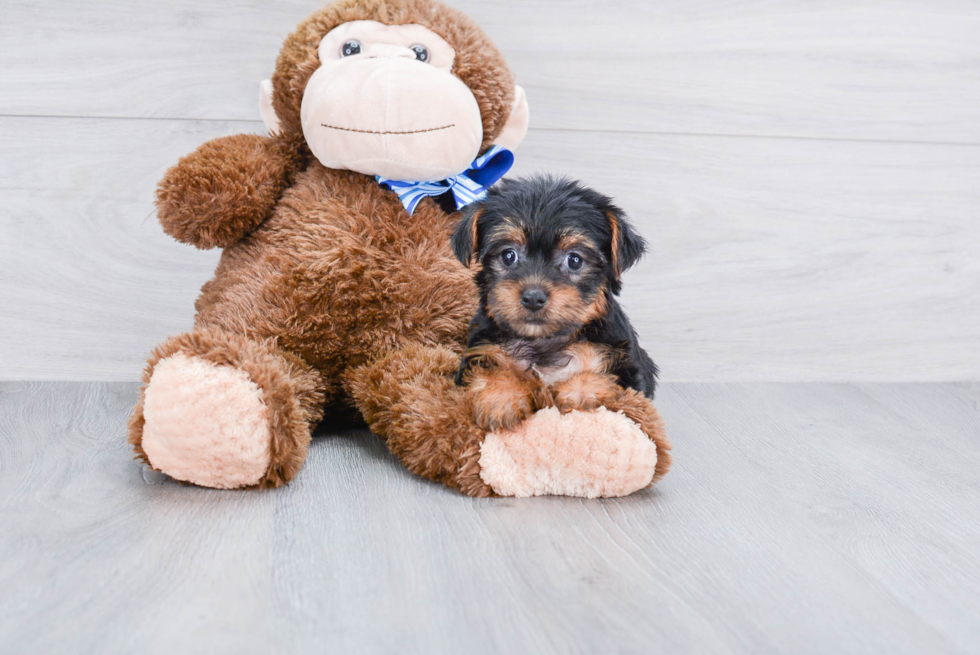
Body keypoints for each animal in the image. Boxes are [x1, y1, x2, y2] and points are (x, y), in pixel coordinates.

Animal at [452, 174, 660, 434]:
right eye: (508, 255)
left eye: (574, 260)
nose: (533, 297)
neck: (544, 340)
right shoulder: (483, 350)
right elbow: (491, 369)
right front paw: (500, 397)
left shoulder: (625, 365)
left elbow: (607, 380)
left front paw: (581, 393)